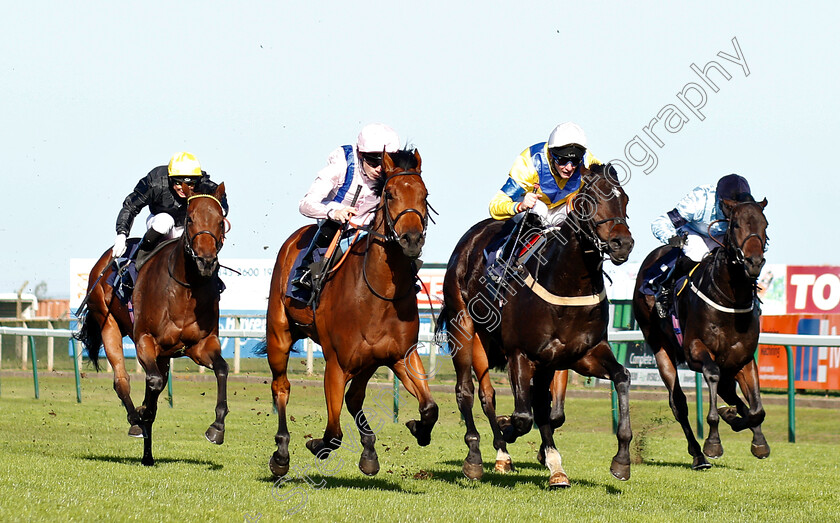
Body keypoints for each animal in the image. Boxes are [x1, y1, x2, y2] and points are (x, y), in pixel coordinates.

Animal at [75, 183, 230, 466]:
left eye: (220, 221)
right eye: (190, 219)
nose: (206, 261)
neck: (183, 290)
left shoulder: (200, 345)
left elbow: (222, 370)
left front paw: (217, 428)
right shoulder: (145, 340)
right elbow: (153, 384)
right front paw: (141, 414)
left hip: (164, 355)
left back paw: (148, 452)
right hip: (108, 322)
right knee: (121, 380)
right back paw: (136, 422)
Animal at [264, 147, 440, 478]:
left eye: (424, 194)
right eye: (390, 194)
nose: (412, 240)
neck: (379, 295)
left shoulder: (401, 355)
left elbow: (429, 407)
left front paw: (418, 429)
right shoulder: (336, 364)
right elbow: (333, 434)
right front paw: (314, 444)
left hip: (369, 362)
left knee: (354, 396)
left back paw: (369, 449)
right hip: (278, 335)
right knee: (281, 387)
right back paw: (281, 453)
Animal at [436, 166, 632, 490]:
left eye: (625, 199)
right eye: (589, 200)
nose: (622, 244)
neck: (566, 283)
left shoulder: (582, 353)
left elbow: (620, 377)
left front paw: (620, 460)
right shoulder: (520, 353)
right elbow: (522, 416)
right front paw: (509, 429)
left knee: (497, 397)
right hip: (463, 327)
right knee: (467, 391)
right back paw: (477, 457)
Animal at [632, 196, 772, 470]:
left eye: (765, 225)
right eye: (736, 224)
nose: (754, 262)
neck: (729, 300)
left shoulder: (743, 358)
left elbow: (756, 409)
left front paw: (755, 438)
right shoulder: (695, 351)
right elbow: (712, 376)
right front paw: (713, 443)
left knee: (731, 393)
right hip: (660, 347)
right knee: (678, 404)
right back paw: (698, 455)